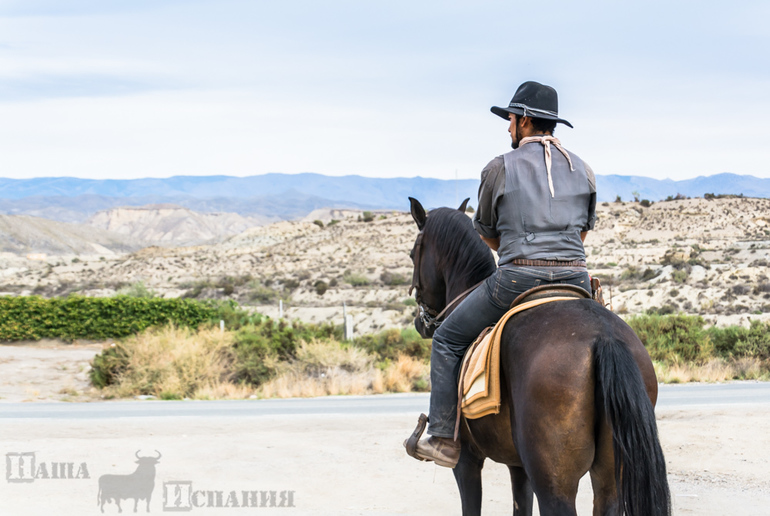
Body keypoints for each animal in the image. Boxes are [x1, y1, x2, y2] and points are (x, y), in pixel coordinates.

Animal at [408, 199, 664, 516]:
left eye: (412, 254)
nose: (421, 323)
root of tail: (604, 336)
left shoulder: (467, 461)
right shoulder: (519, 466)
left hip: (554, 483)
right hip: (609, 479)